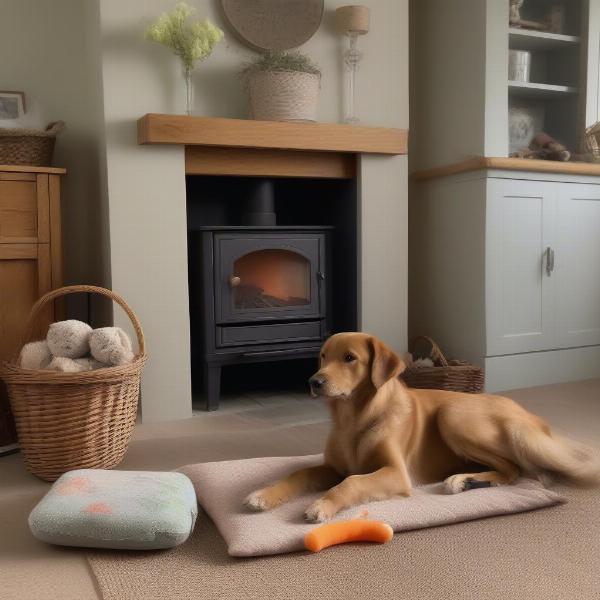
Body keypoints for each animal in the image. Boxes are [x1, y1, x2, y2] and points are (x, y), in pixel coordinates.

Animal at [244, 332, 600, 520]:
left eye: (349, 358)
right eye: (322, 356)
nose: (313, 382)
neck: (354, 420)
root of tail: (531, 416)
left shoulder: (395, 472)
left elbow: (353, 483)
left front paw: (323, 504)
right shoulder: (333, 466)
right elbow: (299, 473)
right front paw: (264, 494)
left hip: (453, 414)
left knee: (515, 468)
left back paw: (465, 480)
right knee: (511, 469)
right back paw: (466, 480)